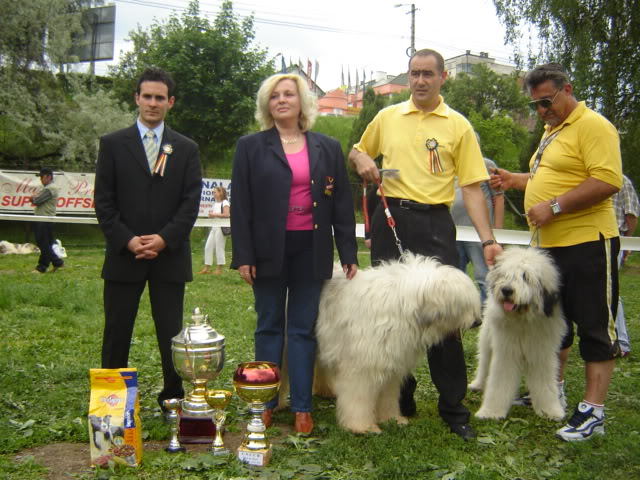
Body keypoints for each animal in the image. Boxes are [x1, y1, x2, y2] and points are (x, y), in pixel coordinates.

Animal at [316, 253, 480, 434]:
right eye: (463, 304)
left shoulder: (391, 365)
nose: (478, 322)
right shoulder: (362, 368)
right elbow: (358, 398)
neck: (402, 307)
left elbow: (388, 396)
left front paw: (392, 419)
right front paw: (362, 427)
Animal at [468, 248, 568, 420]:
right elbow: (499, 382)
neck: (523, 320)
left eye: (525, 277)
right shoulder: (506, 352)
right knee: (484, 363)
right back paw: (478, 384)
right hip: (487, 340)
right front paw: (491, 412)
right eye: (505, 275)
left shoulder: (542, 354)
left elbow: (545, 383)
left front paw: (550, 410)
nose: (507, 290)